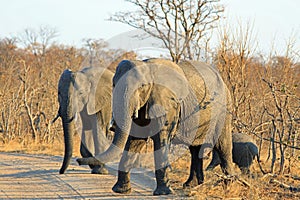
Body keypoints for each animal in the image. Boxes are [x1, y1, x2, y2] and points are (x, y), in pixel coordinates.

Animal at [77, 58, 234, 195]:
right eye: (114, 85)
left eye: (141, 86)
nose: (78, 160)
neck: (148, 67)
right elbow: (134, 140)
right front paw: (120, 190)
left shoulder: (167, 105)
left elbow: (161, 139)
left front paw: (164, 192)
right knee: (195, 149)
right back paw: (191, 185)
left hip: (223, 111)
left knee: (223, 145)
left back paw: (228, 185)